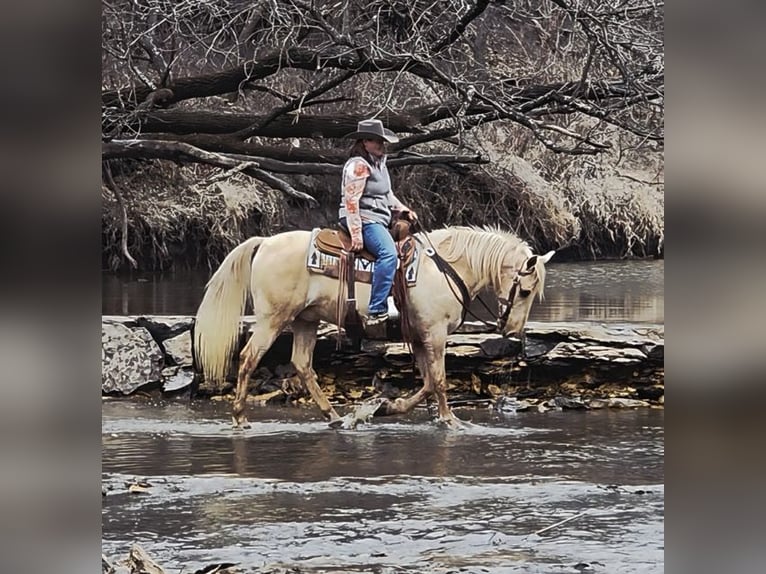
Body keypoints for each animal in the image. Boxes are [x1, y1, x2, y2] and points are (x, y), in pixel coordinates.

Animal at [191, 227, 552, 430]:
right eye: (524, 290)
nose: (513, 334)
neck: (445, 267)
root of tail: (264, 242)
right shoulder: (435, 334)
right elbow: (439, 380)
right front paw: (450, 420)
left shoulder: (419, 337)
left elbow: (427, 383)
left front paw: (390, 408)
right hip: (273, 319)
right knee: (249, 358)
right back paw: (240, 417)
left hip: (306, 320)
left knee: (303, 365)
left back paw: (335, 416)